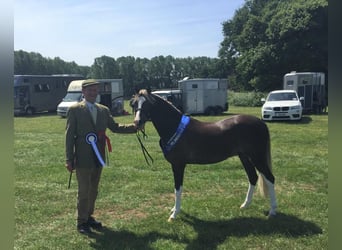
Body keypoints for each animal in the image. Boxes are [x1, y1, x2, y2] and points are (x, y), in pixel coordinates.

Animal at [132, 89, 276, 221]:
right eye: (135, 104)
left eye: (148, 104)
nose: (137, 122)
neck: (174, 127)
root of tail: (261, 122)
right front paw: (174, 210)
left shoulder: (178, 165)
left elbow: (177, 188)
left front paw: (174, 214)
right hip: (245, 157)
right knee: (253, 177)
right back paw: (245, 205)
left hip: (257, 157)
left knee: (270, 178)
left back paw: (272, 211)